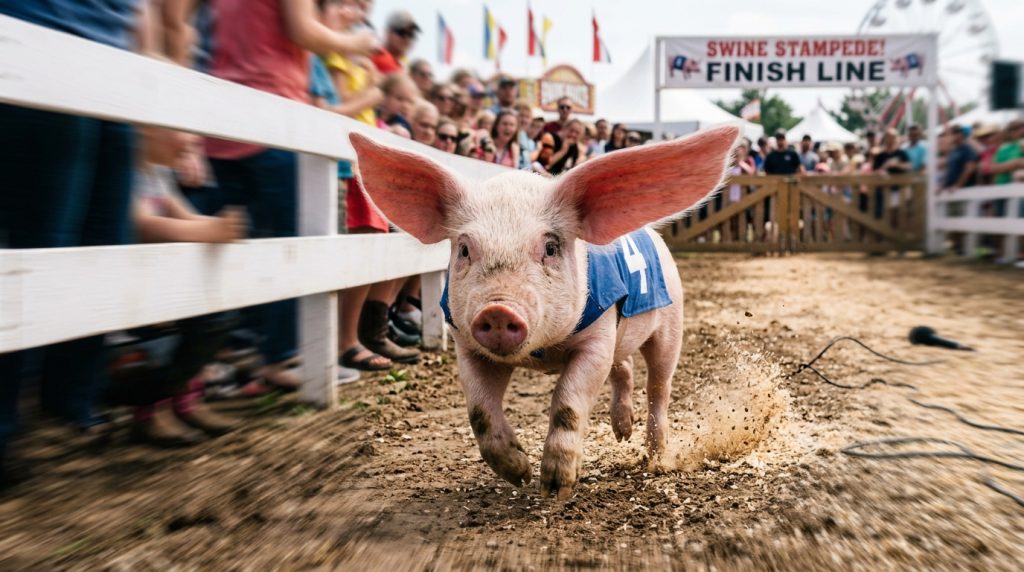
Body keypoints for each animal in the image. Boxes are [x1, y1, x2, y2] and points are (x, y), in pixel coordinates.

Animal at [350, 125, 739, 499]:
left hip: (671, 321)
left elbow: (568, 402)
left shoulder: (597, 337)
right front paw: (518, 474)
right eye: (464, 249)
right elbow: (479, 410)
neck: (542, 354)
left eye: (550, 247)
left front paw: (554, 489)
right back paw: (622, 433)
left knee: (658, 384)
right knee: (624, 367)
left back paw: (655, 458)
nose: (498, 309)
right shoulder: (467, 345)